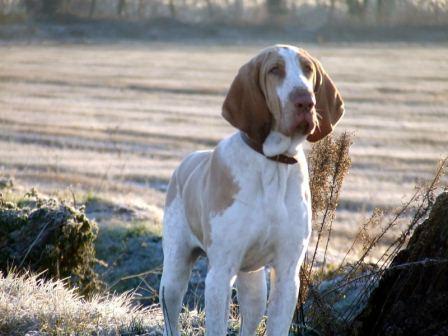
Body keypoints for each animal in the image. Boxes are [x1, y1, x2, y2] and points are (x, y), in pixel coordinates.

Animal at [160, 44, 344, 336]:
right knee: (171, 313)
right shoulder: (221, 273)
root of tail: (189, 160)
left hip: (253, 284)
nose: (305, 101)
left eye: (308, 69)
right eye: (275, 70)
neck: (273, 164)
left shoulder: (287, 273)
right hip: (175, 271)